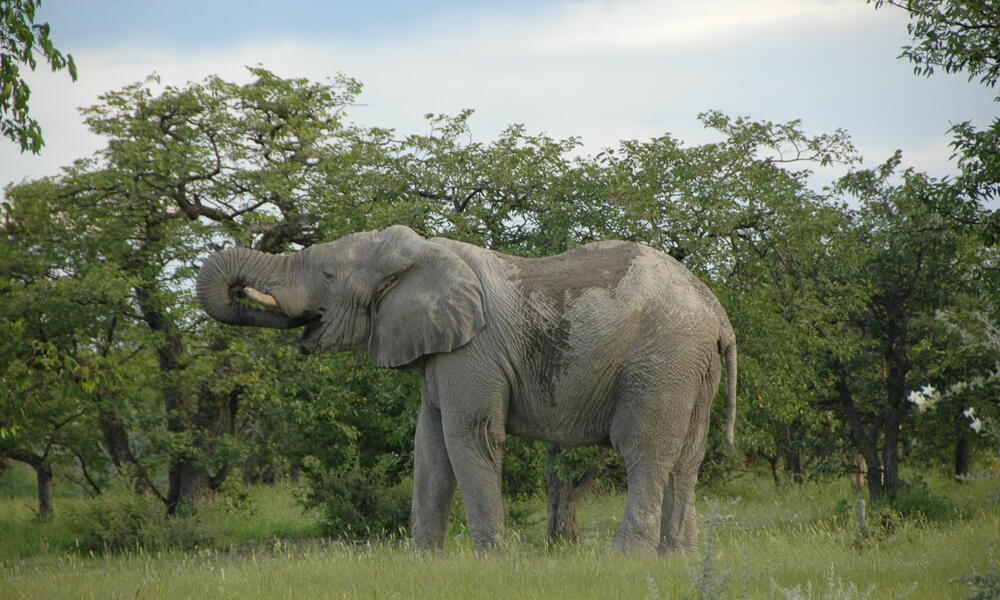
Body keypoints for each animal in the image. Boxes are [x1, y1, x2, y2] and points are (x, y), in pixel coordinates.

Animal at [199, 225, 740, 552]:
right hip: (692, 368)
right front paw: (424, 564)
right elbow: (430, 446)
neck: (420, 253)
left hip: (661, 361)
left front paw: (492, 563)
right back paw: (679, 558)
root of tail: (718, 314)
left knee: (644, 450)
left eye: (329, 275)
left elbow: (469, 438)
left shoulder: (472, 352)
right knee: (687, 459)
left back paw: (627, 559)